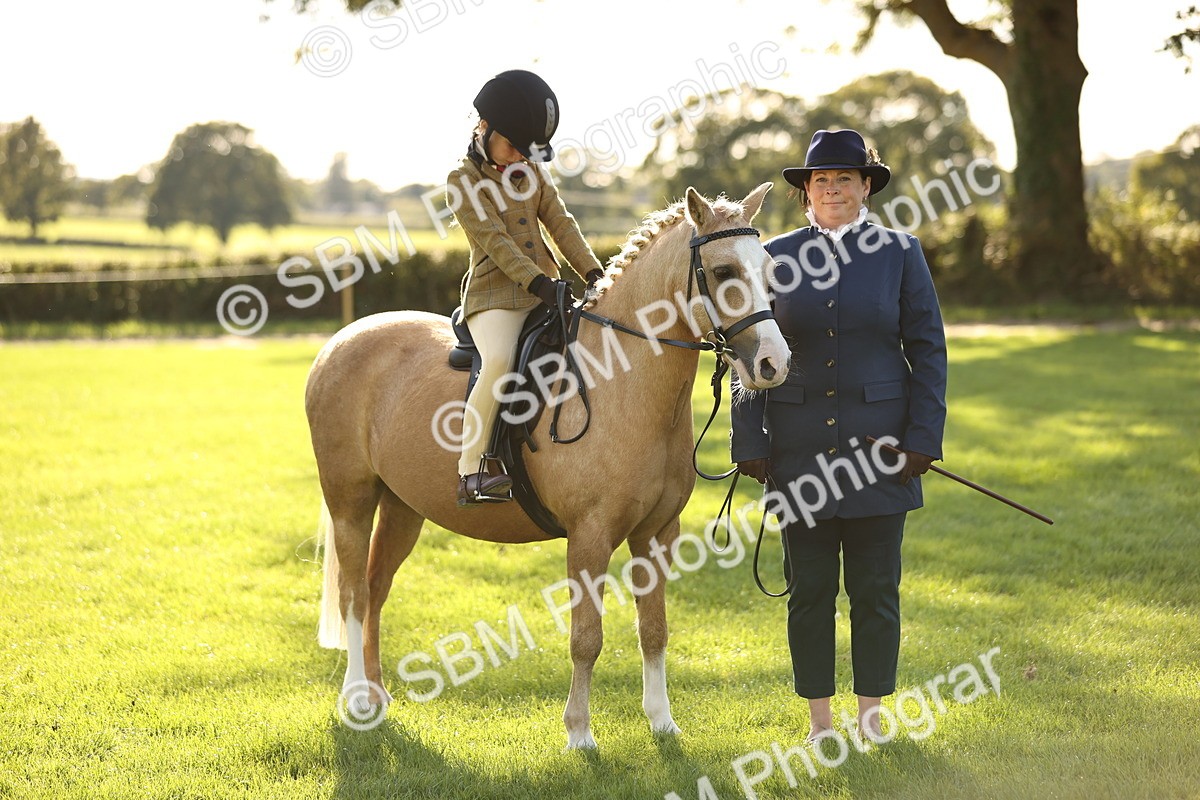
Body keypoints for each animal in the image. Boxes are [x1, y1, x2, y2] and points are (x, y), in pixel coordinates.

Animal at [305, 182, 790, 749]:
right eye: (723, 271)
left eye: (768, 268)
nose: (773, 364)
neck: (619, 379)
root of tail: (342, 340)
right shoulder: (589, 537)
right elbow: (586, 638)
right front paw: (579, 732)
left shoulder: (656, 534)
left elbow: (654, 630)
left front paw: (662, 721)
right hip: (351, 504)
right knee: (354, 596)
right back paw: (356, 700)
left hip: (403, 508)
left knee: (376, 590)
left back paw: (376, 697)